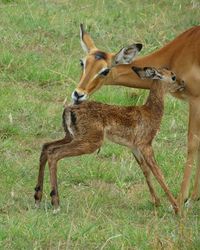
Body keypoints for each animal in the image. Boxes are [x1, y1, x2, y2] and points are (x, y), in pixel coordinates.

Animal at [34, 65, 184, 214]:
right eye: (173, 76)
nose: (182, 83)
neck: (150, 112)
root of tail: (69, 109)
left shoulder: (134, 148)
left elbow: (145, 171)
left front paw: (157, 203)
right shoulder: (145, 145)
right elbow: (158, 172)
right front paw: (176, 208)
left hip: (70, 137)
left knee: (46, 147)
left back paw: (38, 199)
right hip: (89, 142)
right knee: (54, 153)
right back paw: (56, 203)